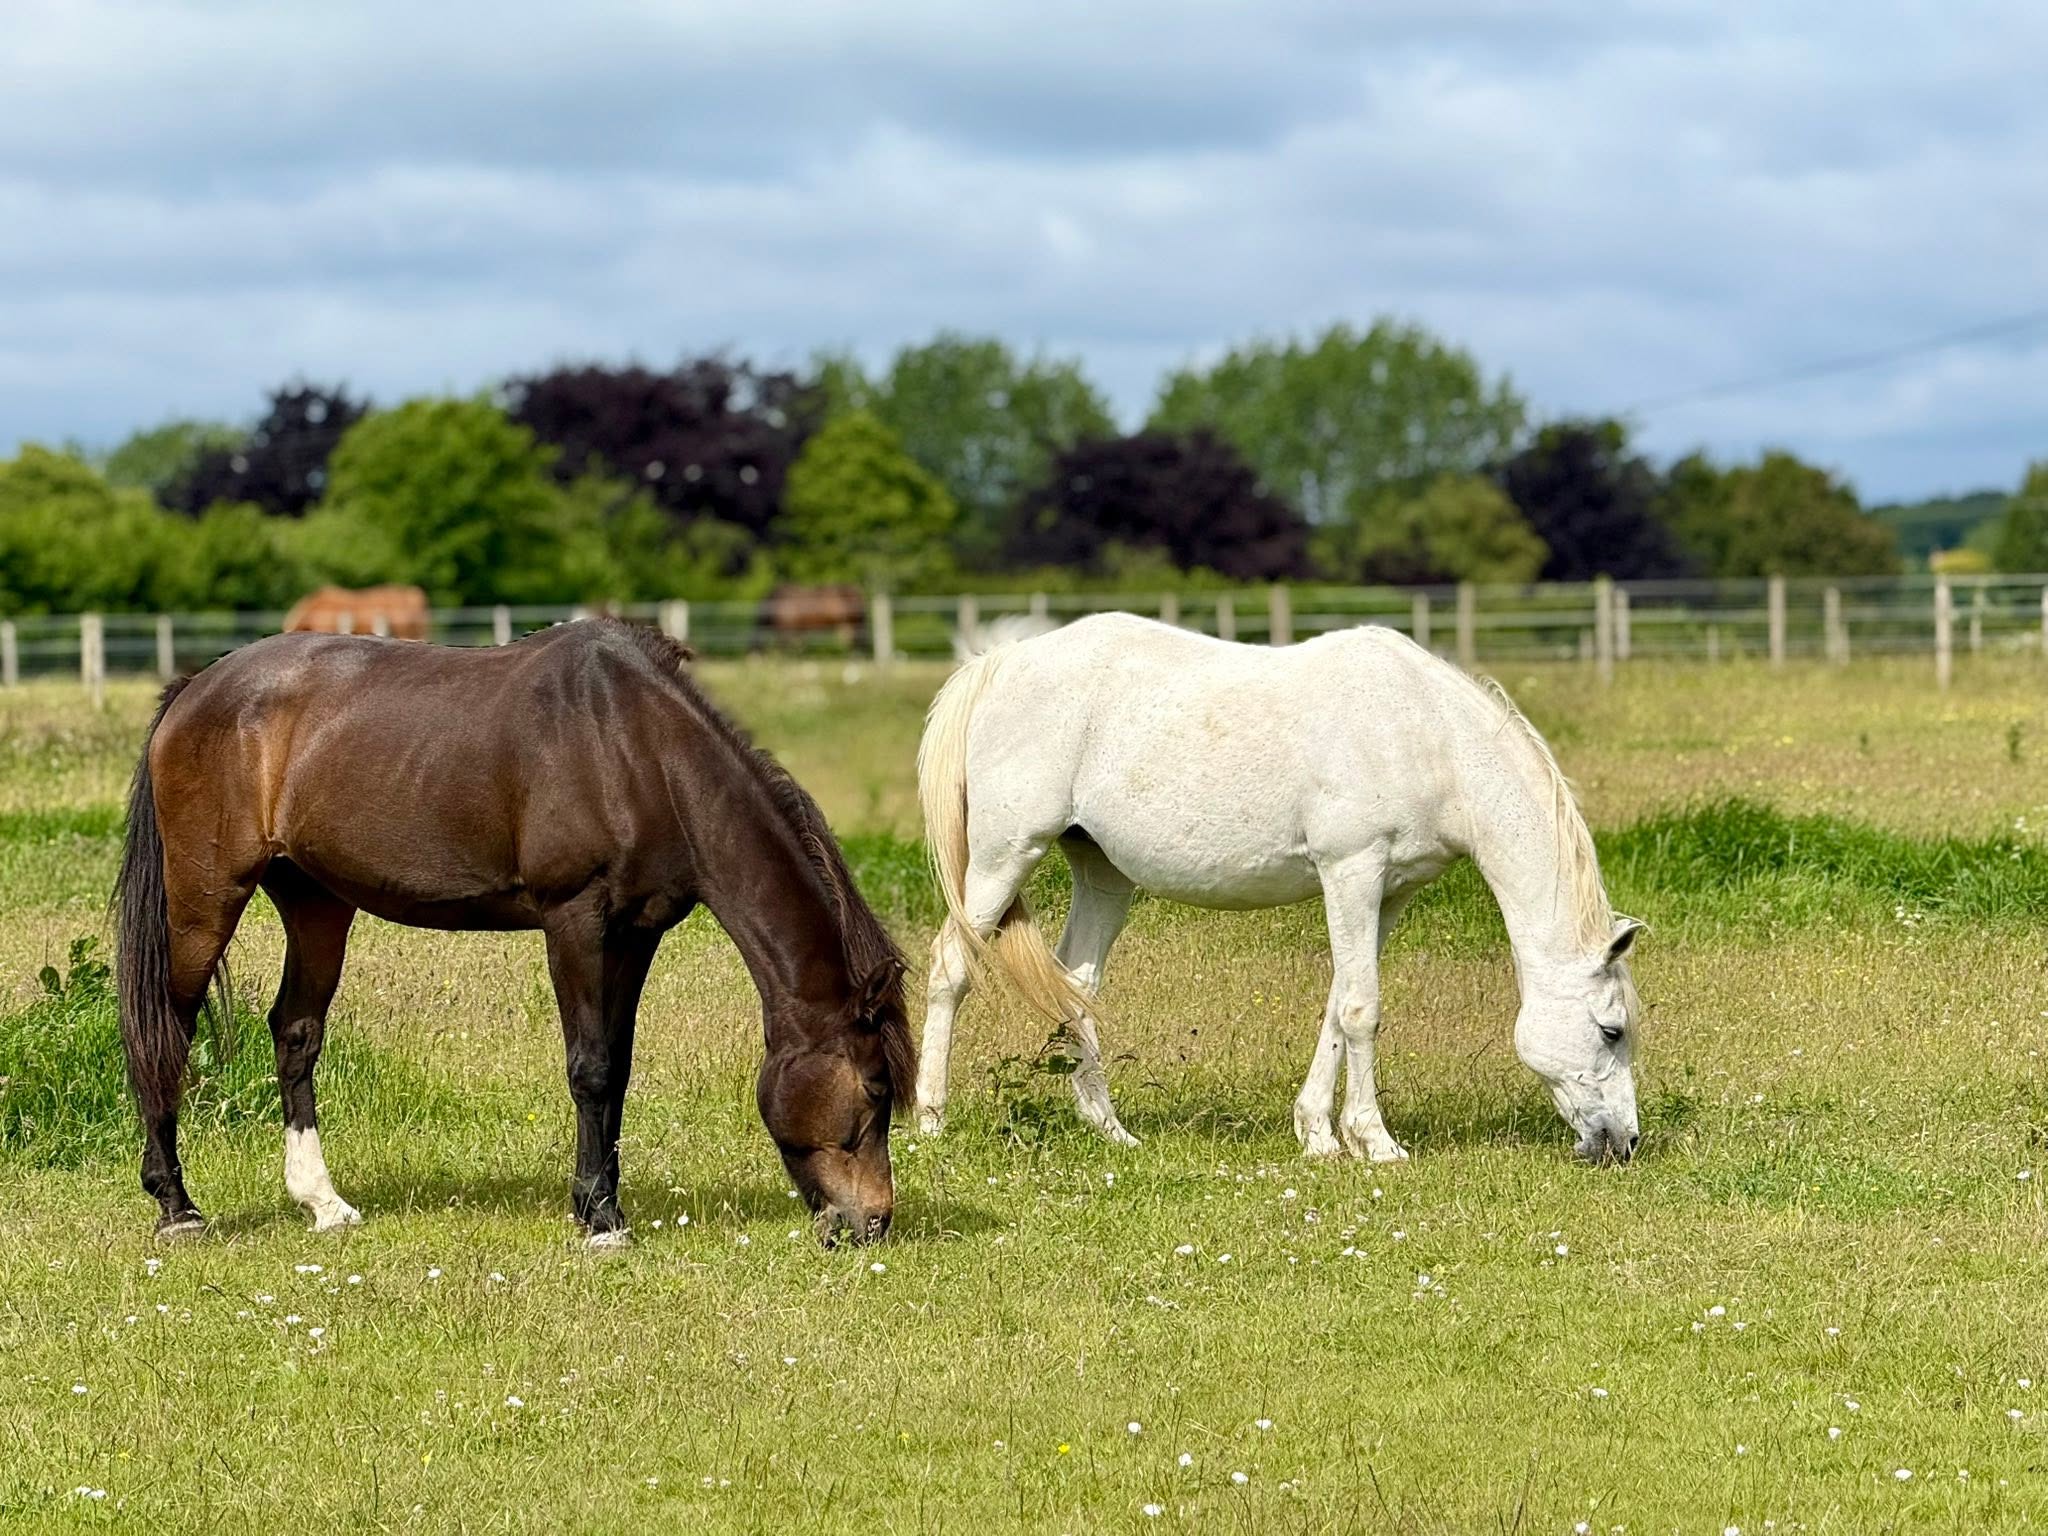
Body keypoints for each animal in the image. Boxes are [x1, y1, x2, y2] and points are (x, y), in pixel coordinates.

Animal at [115, 619, 913, 1247]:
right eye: (875, 1088)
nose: (872, 1222)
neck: (640, 751)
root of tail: (193, 689)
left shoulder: (635, 933)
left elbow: (618, 1066)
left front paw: (601, 1203)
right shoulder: (575, 920)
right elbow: (590, 1068)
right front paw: (600, 1222)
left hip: (315, 903)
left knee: (296, 1033)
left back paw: (324, 1203)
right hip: (206, 898)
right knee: (168, 1030)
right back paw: (177, 1207)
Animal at [913, 613, 1644, 1164]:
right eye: (1611, 1031)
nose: (1625, 1142)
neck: (1427, 738)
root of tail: (1000, 662)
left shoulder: (1388, 892)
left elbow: (1339, 1003)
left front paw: (1319, 1135)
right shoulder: (1351, 871)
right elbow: (1362, 1009)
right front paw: (1376, 1143)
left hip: (1101, 875)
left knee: (1076, 985)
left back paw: (1111, 1129)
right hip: (1003, 857)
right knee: (952, 968)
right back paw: (929, 1121)